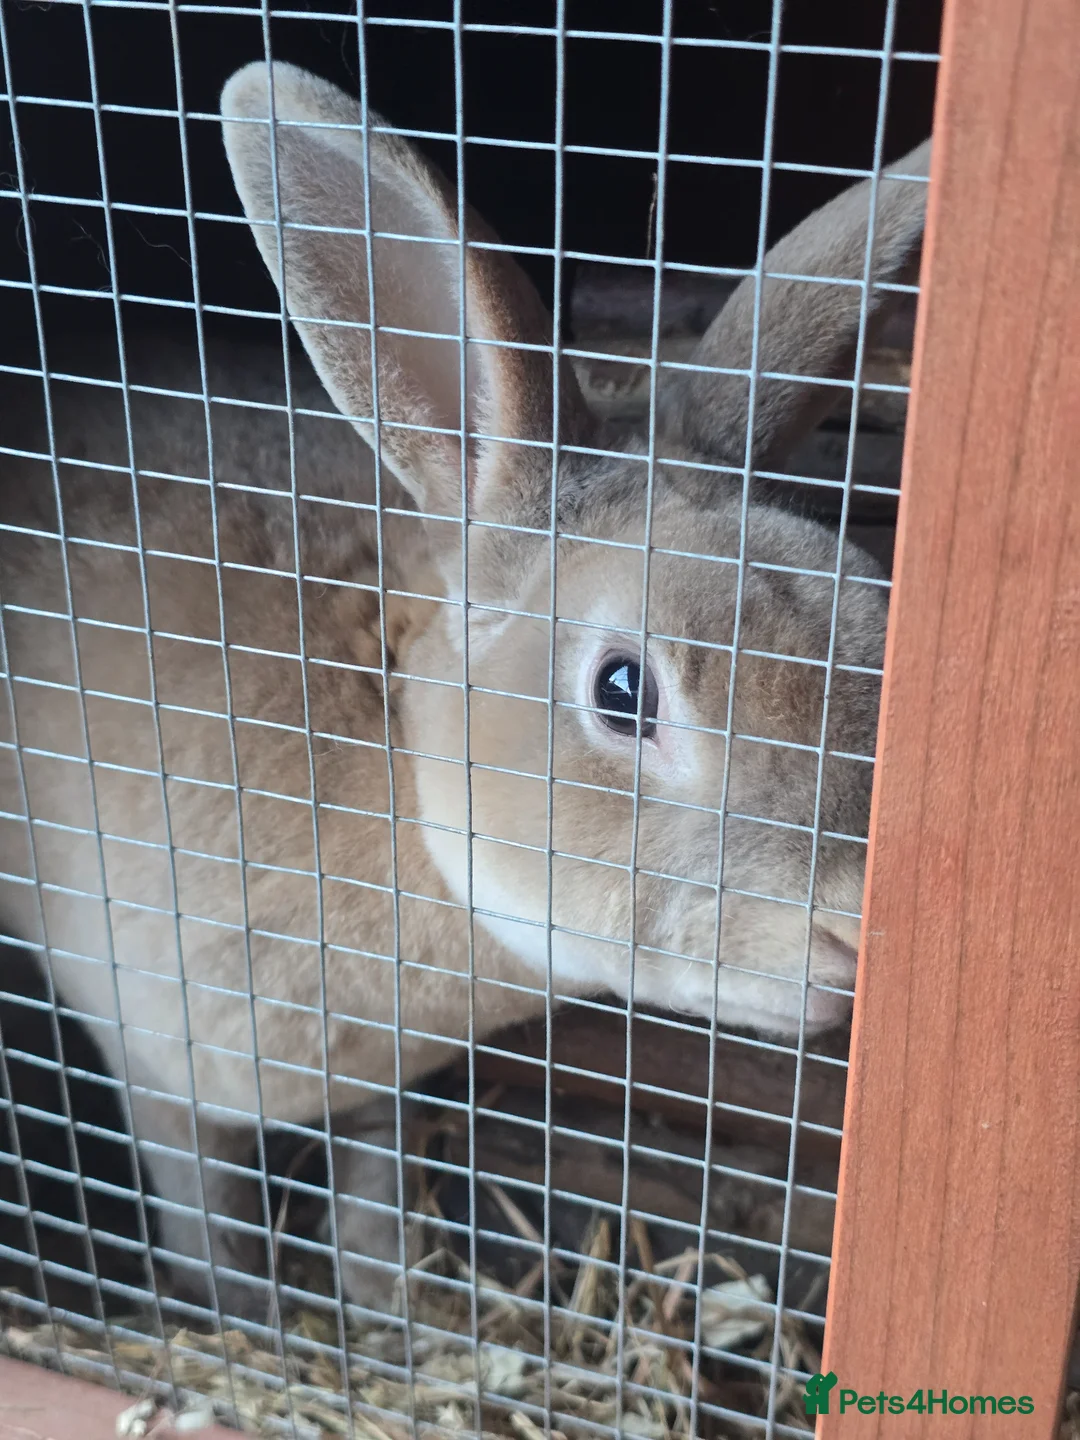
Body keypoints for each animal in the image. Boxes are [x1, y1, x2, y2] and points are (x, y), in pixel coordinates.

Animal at [0, 57, 930, 1322]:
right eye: (622, 689)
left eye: (873, 608)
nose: (858, 925)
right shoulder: (153, 1057)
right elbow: (206, 1208)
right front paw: (249, 1316)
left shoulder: (388, 1082)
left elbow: (375, 1175)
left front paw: (389, 1302)